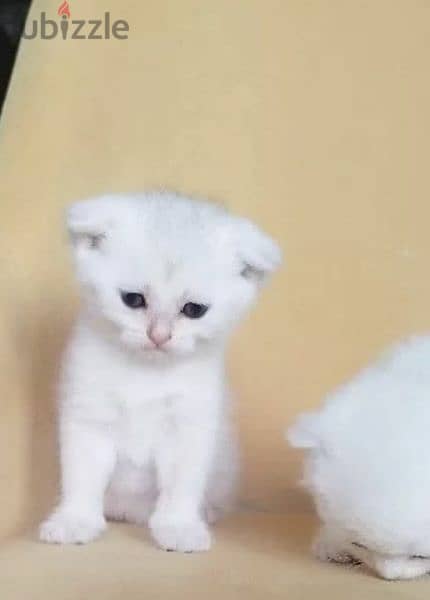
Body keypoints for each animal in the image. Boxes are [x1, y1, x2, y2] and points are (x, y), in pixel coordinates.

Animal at [38, 192, 280, 552]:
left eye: (193, 310)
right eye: (133, 300)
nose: (159, 336)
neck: (146, 372)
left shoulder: (188, 427)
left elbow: (181, 485)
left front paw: (179, 527)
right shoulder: (87, 417)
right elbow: (82, 476)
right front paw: (75, 520)